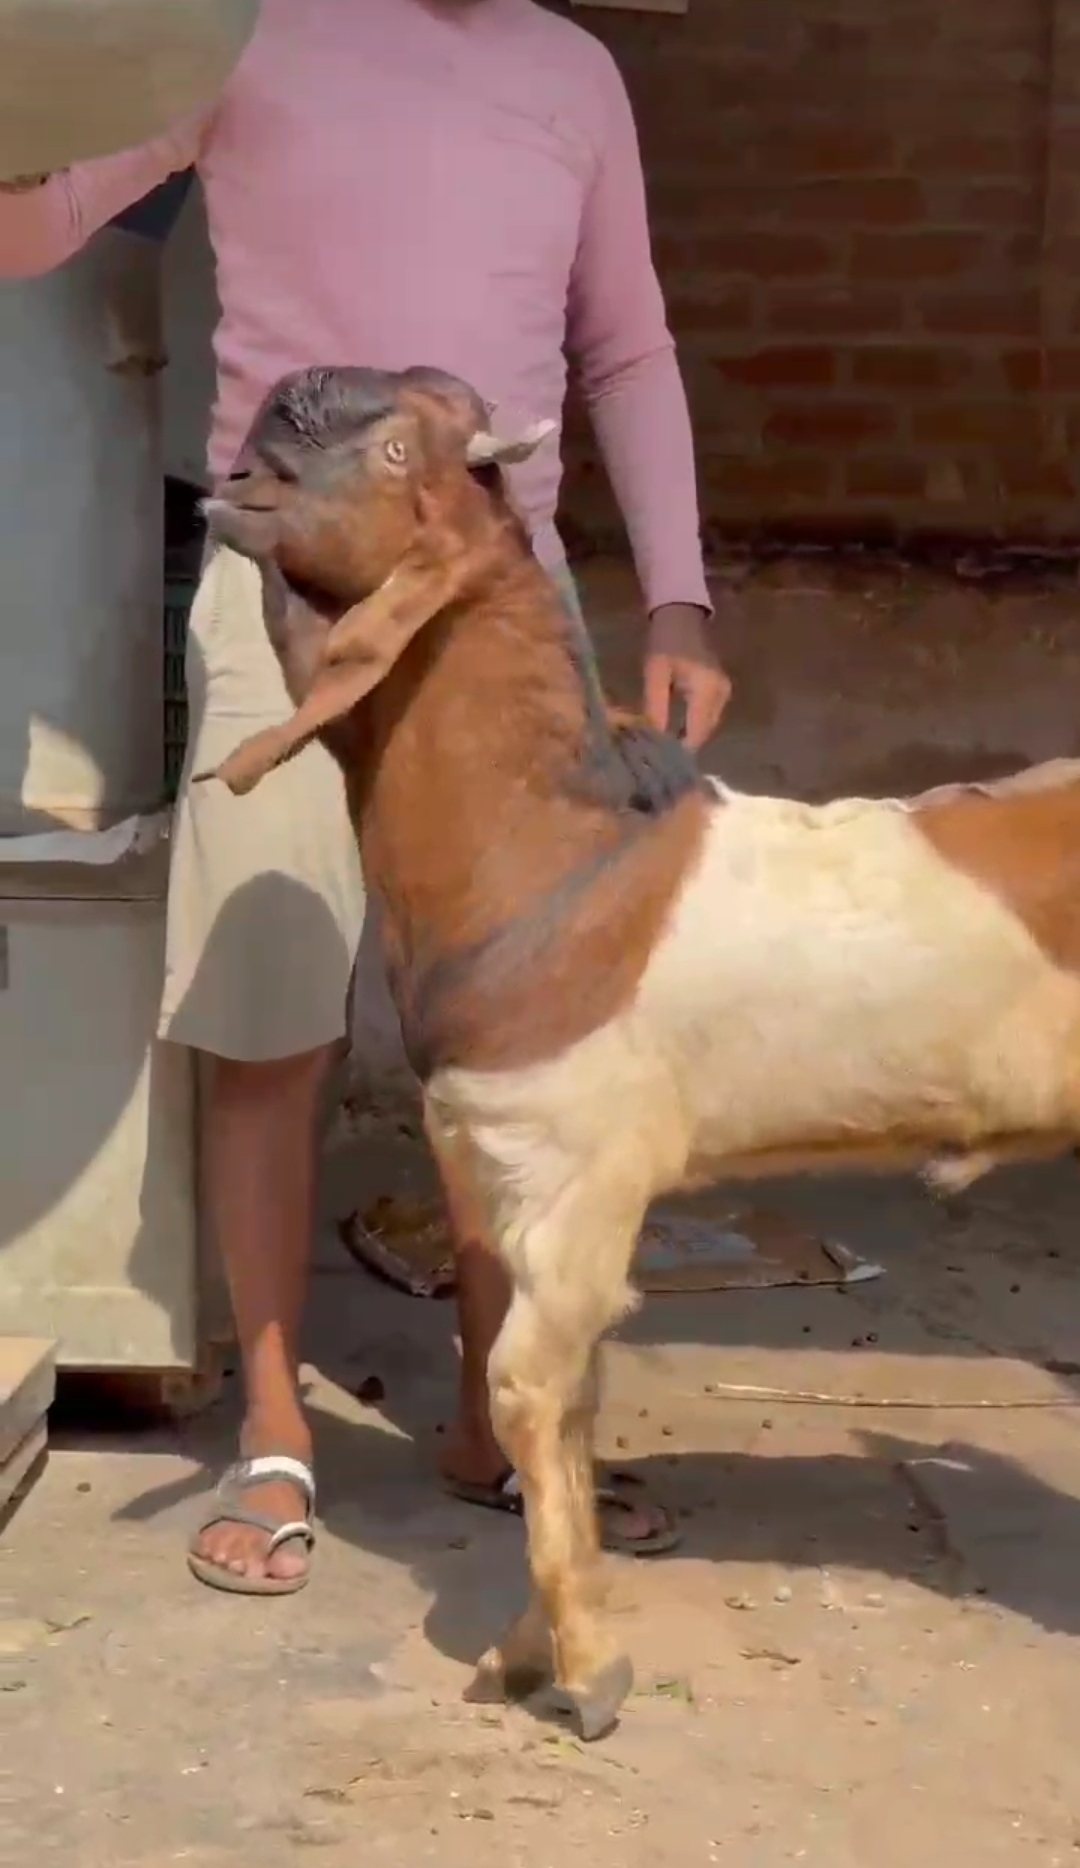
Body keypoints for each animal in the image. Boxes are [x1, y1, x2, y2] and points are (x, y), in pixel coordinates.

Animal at [199, 362, 1080, 1742]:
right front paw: (523, 1649)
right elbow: (567, 1408)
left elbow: (525, 1391)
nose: (278, 402)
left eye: (397, 450)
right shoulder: (519, 1179)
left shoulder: (578, 1176)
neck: (556, 859)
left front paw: (588, 1666)